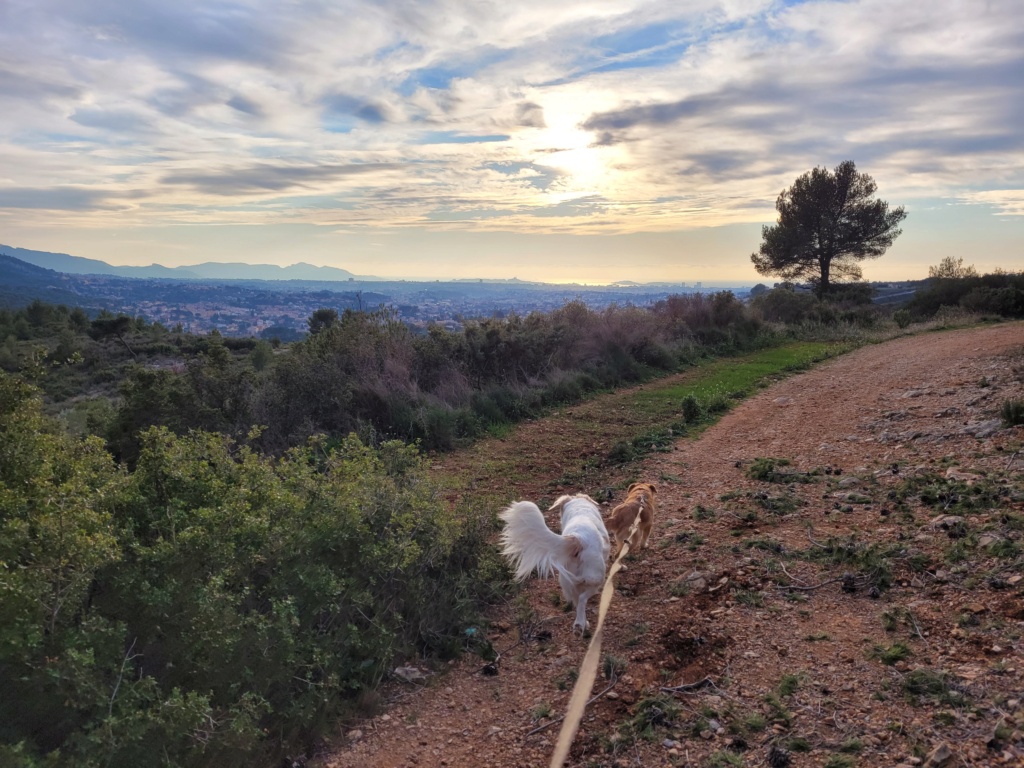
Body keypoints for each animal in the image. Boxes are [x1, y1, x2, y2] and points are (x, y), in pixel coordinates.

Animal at [501, 495, 610, 634]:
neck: (580, 508)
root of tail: (578, 538)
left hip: (568, 581)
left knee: (576, 599)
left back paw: (581, 624)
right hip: (596, 579)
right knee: (582, 599)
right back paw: (580, 624)